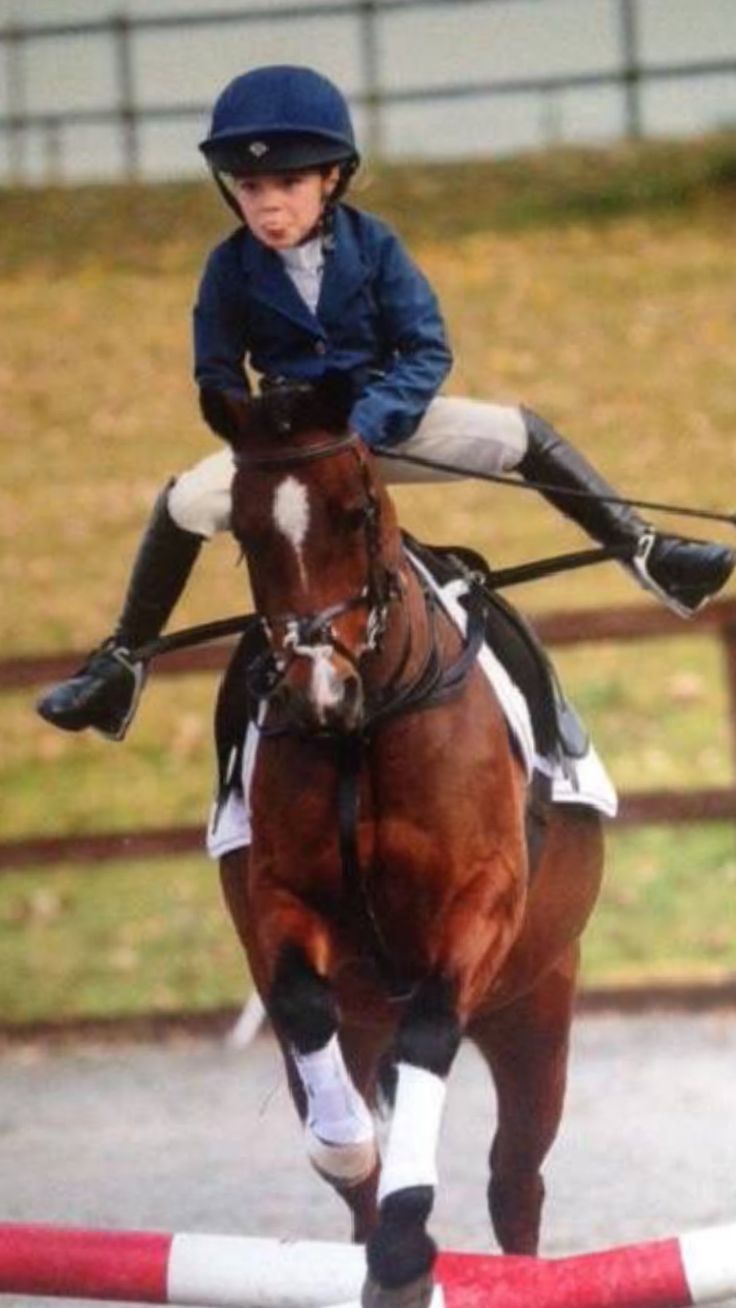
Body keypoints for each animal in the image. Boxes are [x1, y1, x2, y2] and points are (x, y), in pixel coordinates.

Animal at [213, 379, 603, 1308]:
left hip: (535, 1009)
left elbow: (430, 1031)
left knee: (515, 1179)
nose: (320, 690)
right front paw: (349, 1149)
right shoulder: (285, 900)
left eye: (356, 512)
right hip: (363, 1024)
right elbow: (303, 1006)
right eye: (243, 534)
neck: (365, 736)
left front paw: (405, 1241)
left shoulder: (481, 904)